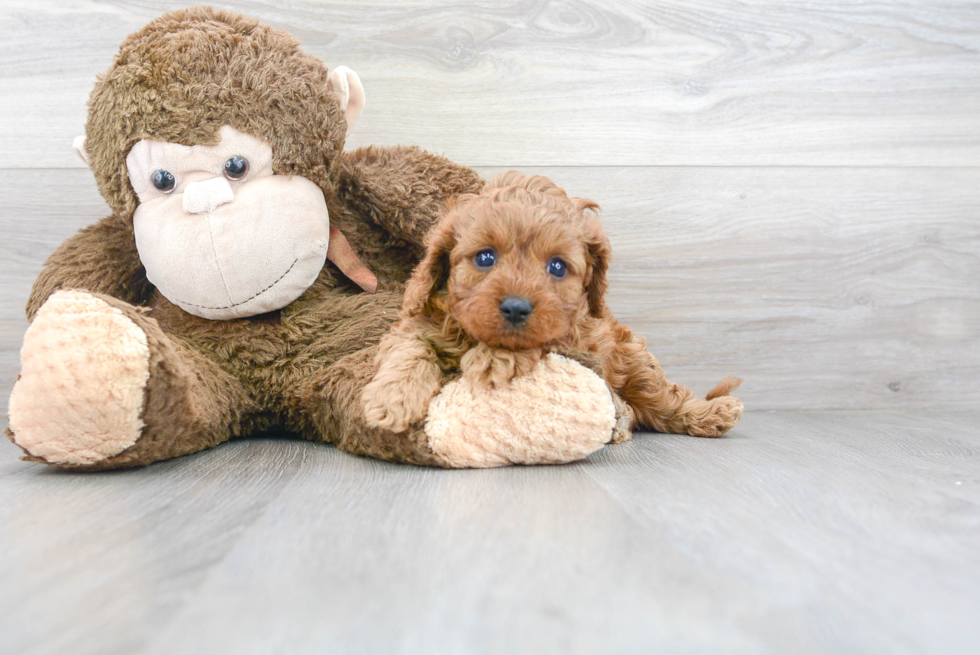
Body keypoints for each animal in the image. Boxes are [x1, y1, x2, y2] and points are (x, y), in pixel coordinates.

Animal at [362, 172, 744, 444]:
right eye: (485, 257)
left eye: (557, 267)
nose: (516, 308)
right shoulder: (417, 323)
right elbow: (410, 349)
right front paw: (392, 397)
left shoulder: (580, 339)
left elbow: (542, 342)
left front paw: (495, 358)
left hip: (634, 361)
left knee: (664, 400)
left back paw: (711, 413)